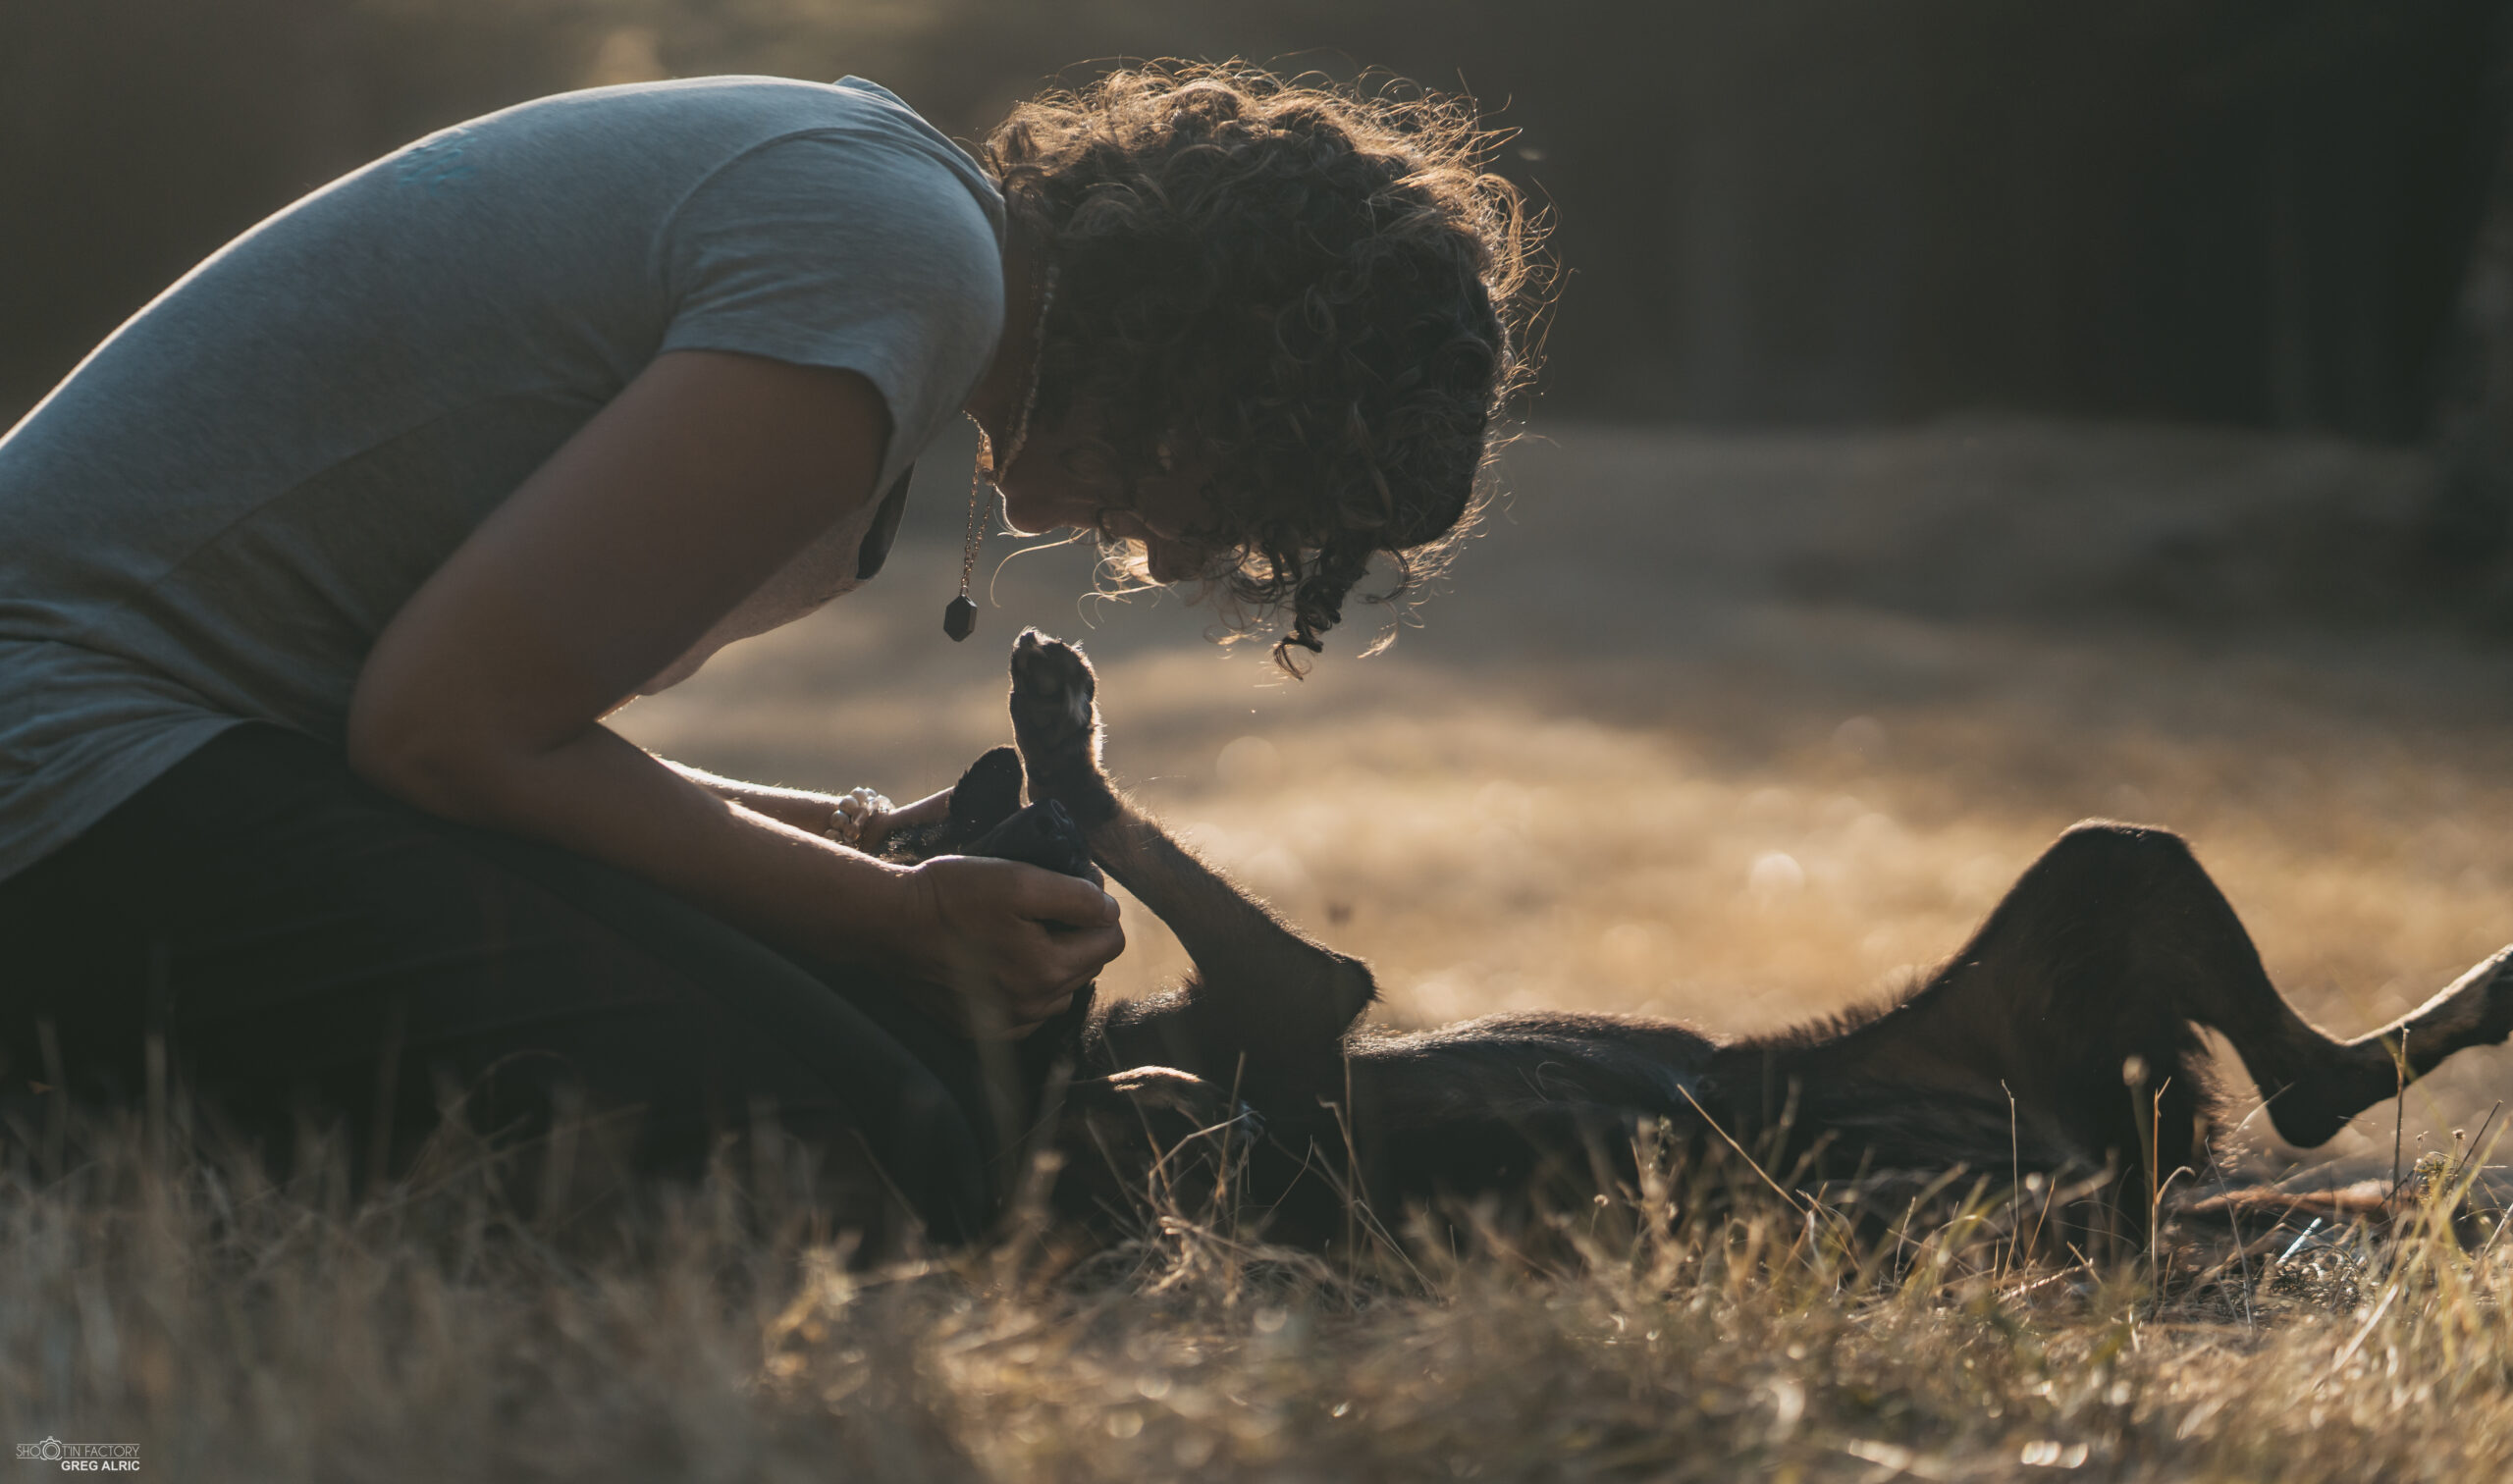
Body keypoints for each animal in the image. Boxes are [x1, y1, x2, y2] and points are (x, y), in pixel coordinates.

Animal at [894, 630, 2502, 1255]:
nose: (958, 785)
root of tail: (2111, 1200)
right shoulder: (1293, 1003)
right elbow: (1155, 864)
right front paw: (1062, 745)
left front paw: (1048, 739)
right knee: (2312, 1095)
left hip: (2105, 881)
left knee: (2305, 1076)